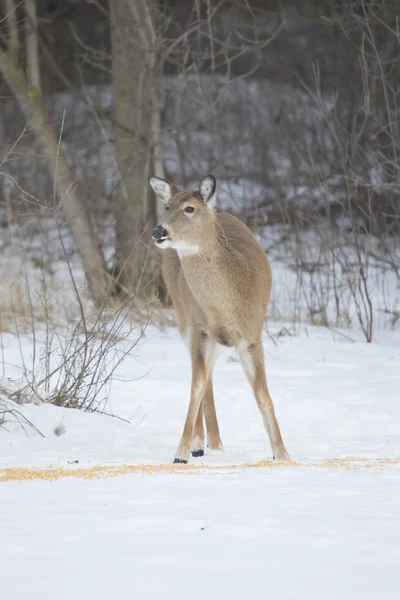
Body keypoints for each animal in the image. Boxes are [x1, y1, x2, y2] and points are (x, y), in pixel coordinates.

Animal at [148, 173, 290, 464]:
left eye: (189, 208)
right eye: (167, 205)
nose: (158, 232)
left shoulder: (252, 334)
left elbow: (263, 394)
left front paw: (282, 454)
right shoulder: (199, 329)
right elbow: (196, 386)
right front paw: (181, 452)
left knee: (210, 374)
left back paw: (214, 443)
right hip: (183, 318)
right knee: (205, 379)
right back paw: (202, 443)